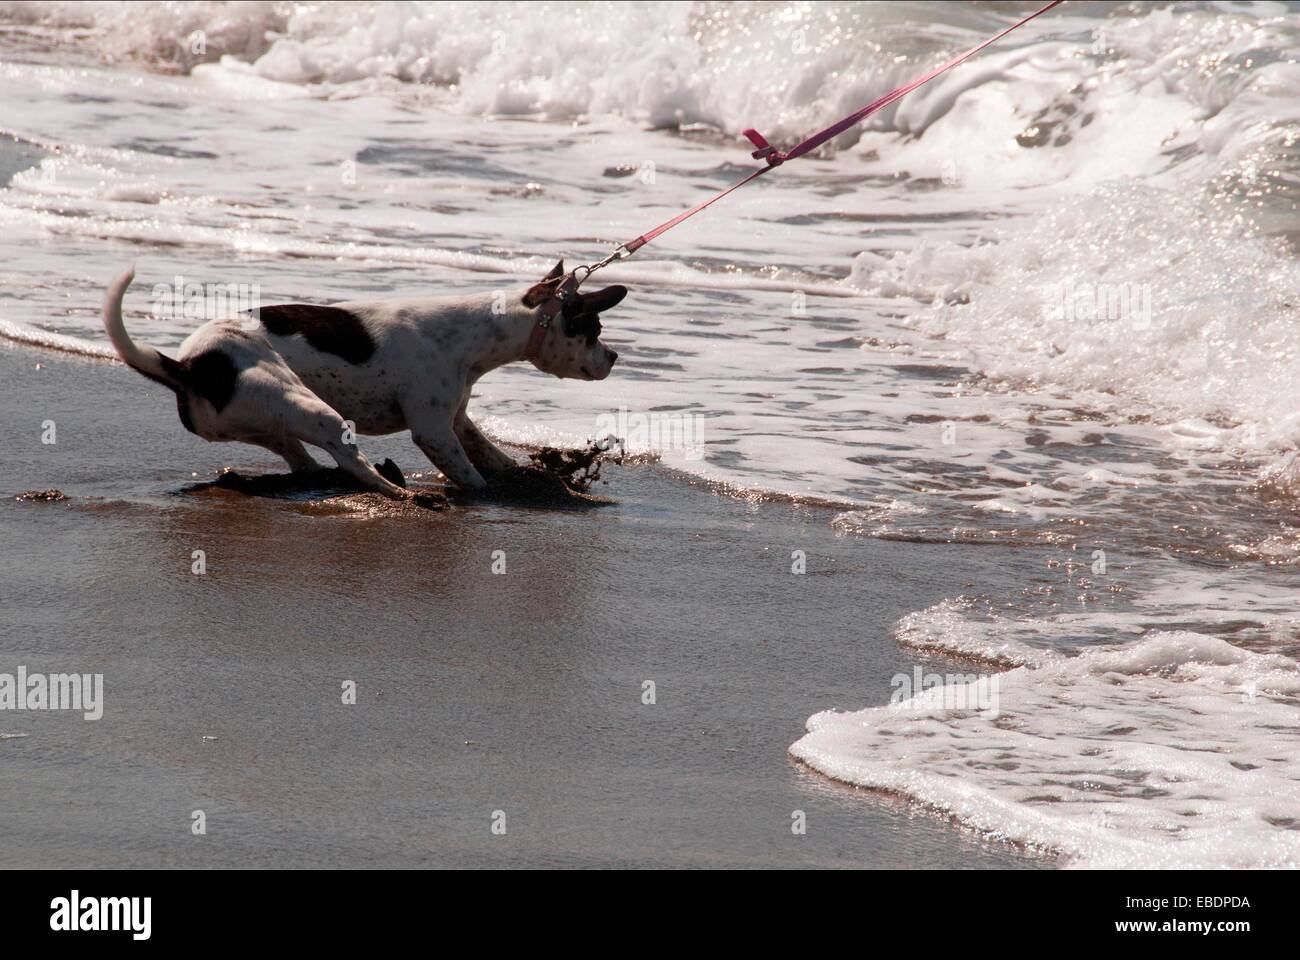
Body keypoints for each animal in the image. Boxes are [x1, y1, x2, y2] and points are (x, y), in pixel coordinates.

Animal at [104, 261, 621, 502]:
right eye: (594, 329)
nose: (614, 356)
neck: (472, 333)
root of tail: (188, 366)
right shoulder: (433, 430)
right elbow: (470, 474)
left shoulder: (456, 420)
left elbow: (489, 455)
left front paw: (527, 478)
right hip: (306, 404)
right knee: (351, 459)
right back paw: (399, 491)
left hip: (268, 422)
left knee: (303, 459)